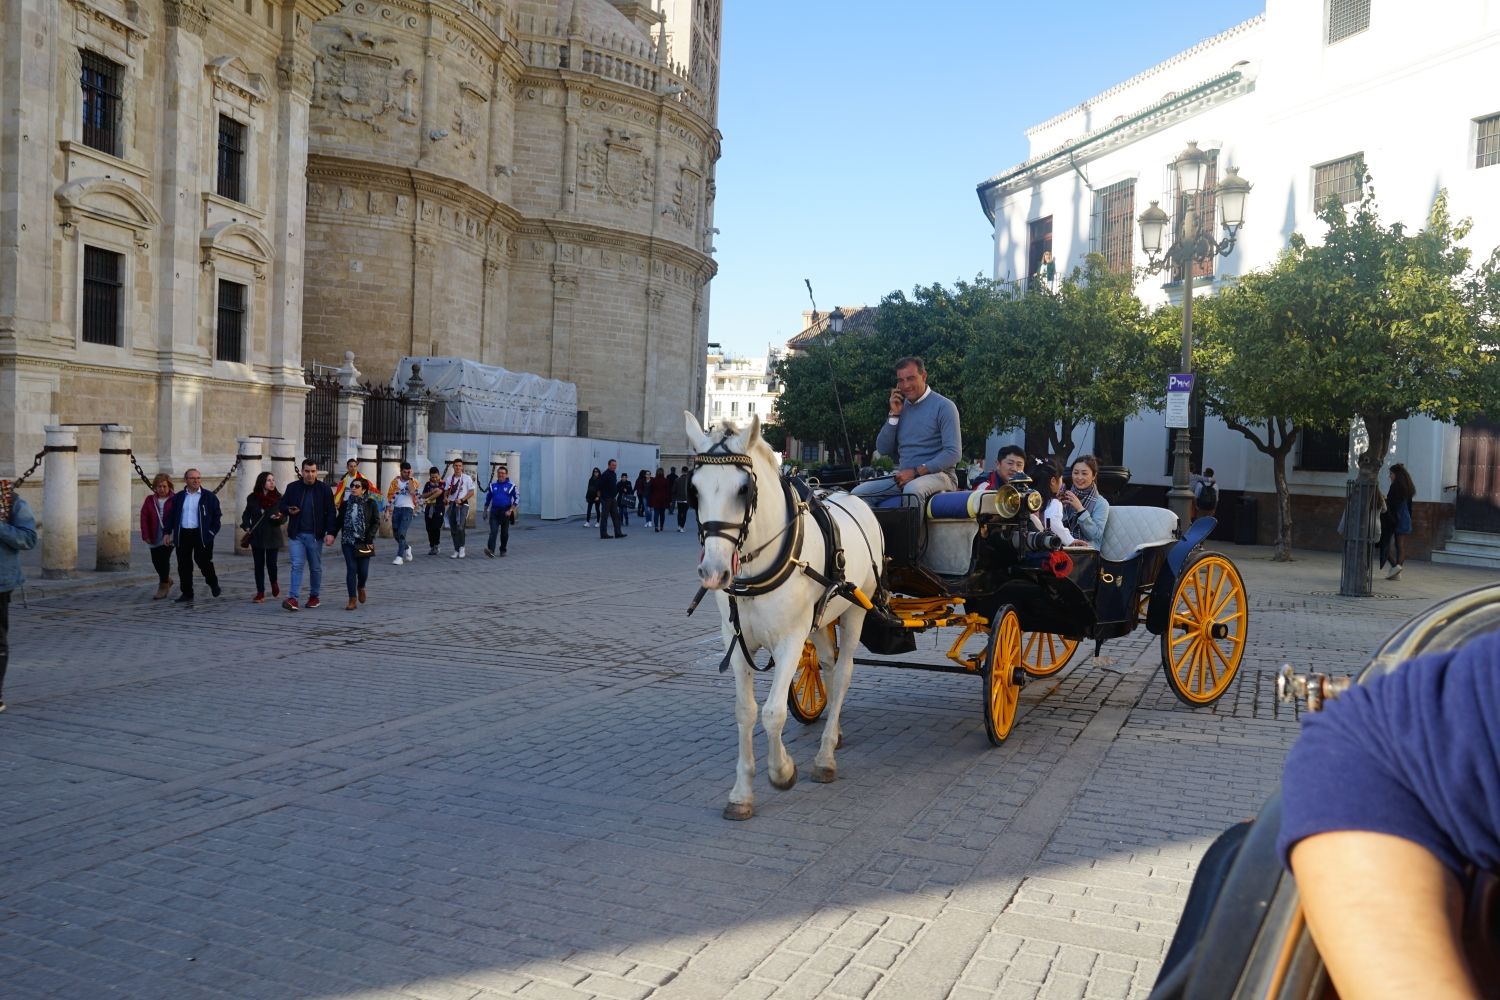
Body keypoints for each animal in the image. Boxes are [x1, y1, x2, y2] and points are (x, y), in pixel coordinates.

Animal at [687, 413, 882, 821]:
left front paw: (783, 771)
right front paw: (741, 793)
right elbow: (746, 712)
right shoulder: (736, 641)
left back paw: (824, 758)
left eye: (744, 489)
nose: (713, 572)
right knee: (827, 665)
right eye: (693, 490)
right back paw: (833, 734)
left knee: (843, 672)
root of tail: (852, 494)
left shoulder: (791, 639)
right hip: (822, 619)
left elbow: (773, 712)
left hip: (857, 610)